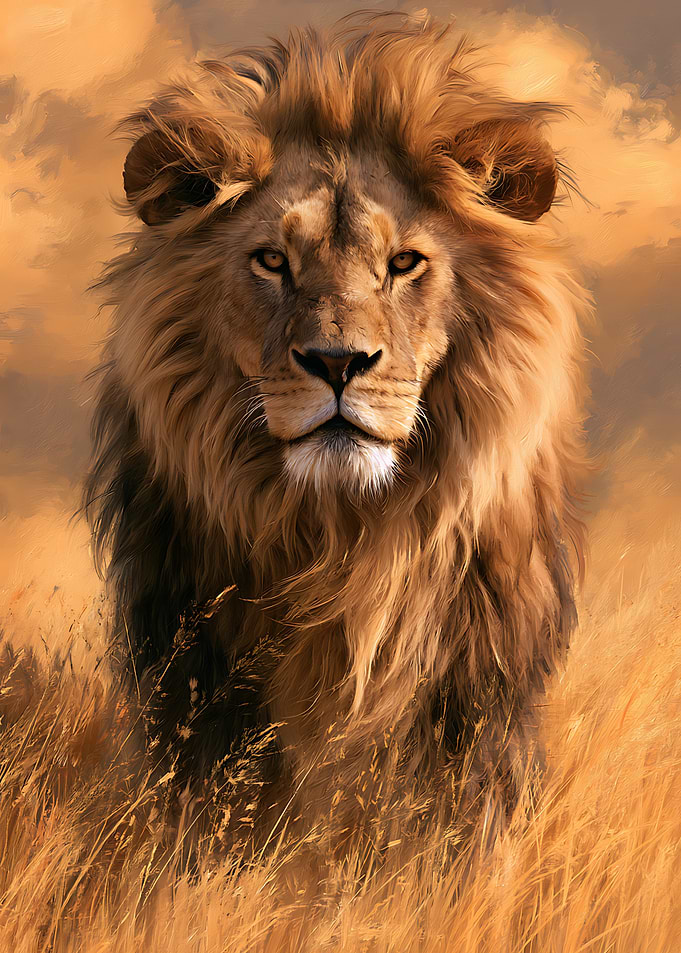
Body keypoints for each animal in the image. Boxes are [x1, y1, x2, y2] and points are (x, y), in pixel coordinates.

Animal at [86, 12, 589, 840]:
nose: (336, 361)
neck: (340, 536)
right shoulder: (198, 681)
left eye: (404, 262)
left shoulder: (476, 703)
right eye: (271, 260)